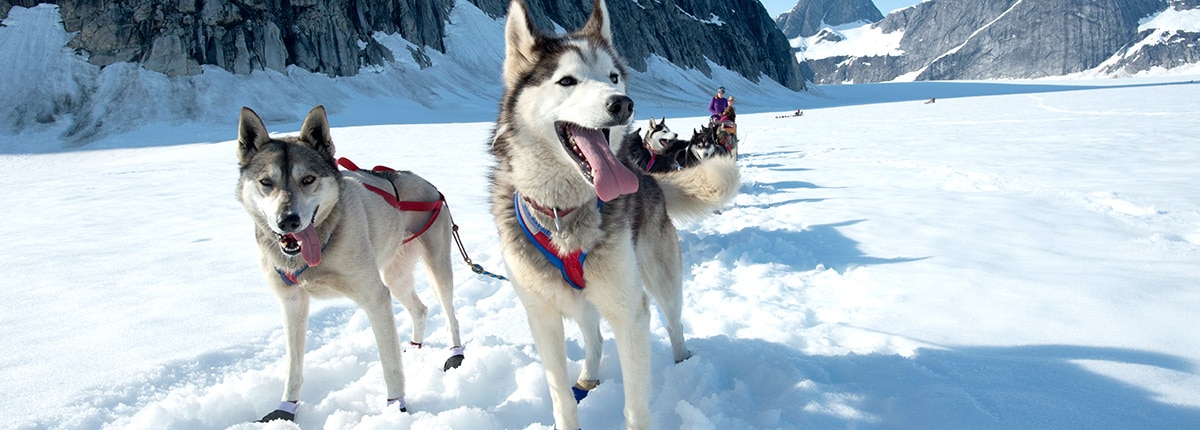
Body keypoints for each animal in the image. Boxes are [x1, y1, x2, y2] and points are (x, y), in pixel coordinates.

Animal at [235, 105, 463, 422]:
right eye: (266, 182)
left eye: (308, 179)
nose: (288, 220)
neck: (322, 242)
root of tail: (427, 183)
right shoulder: (292, 303)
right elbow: (293, 367)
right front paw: (286, 408)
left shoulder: (375, 297)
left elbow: (389, 365)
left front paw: (397, 406)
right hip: (395, 277)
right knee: (420, 309)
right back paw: (414, 347)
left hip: (437, 268)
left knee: (450, 314)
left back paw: (455, 353)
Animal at [482, 0, 734, 427]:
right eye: (567, 81)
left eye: (613, 77)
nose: (622, 103)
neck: (563, 213)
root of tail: (646, 178)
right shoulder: (542, 318)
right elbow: (560, 398)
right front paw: (570, 406)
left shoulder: (629, 312)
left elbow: (636, 405)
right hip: (583, 300)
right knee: (594, 337)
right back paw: (587, 377)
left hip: (661, 279)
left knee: (674, 321)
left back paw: (683, 361)